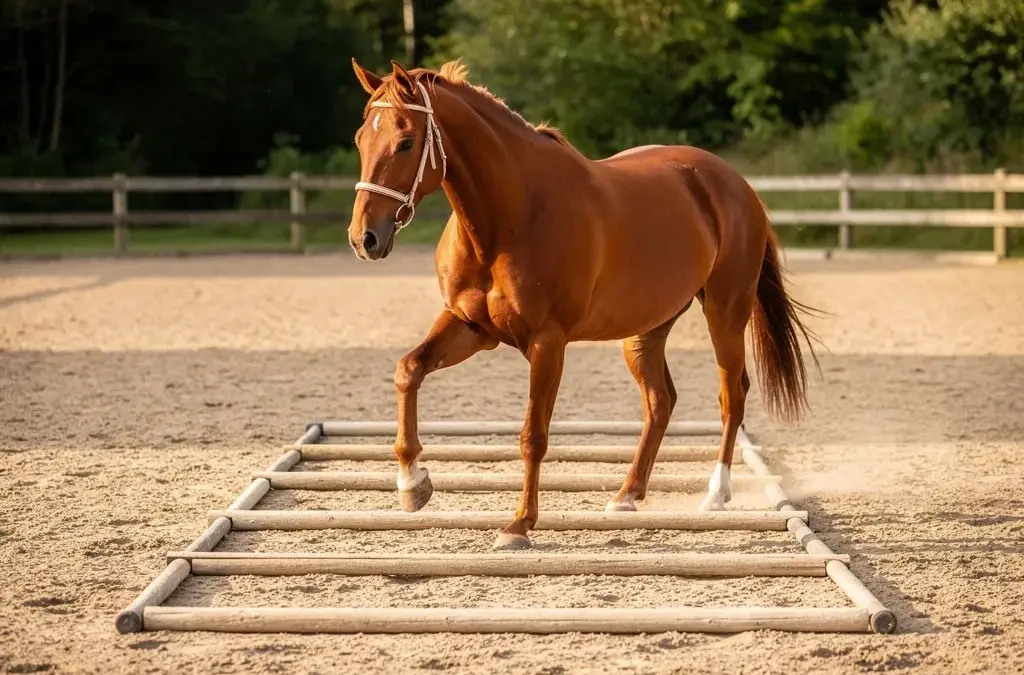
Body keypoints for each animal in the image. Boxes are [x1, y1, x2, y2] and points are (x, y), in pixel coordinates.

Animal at [347, 58, 820, 550]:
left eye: (406, 141)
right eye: (361, 138)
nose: (365, 239)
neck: (510, 217)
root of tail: (736, 184)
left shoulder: (547, 342)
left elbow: (533, 435)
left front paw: (519, 525)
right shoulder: (470, 327)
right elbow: (408, 370)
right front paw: (412, 484)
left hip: (725, 313)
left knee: (732, 395)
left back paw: (716, 493)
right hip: (646, 329)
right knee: (661, 401)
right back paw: (627, 494)